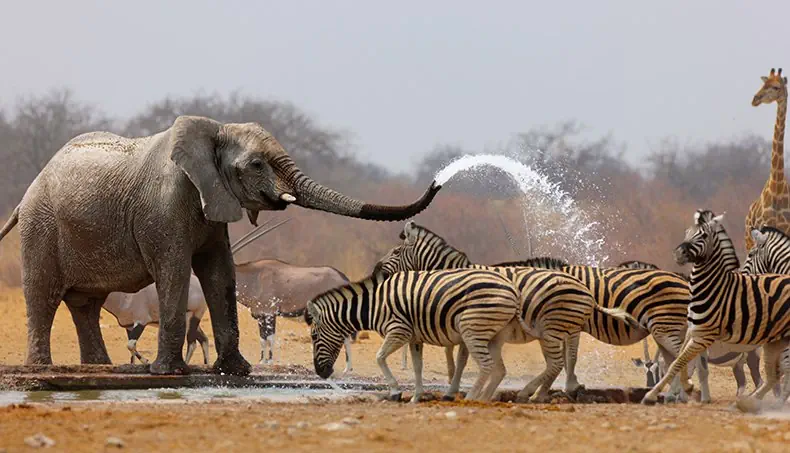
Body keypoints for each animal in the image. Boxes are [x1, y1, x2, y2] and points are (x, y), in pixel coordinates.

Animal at [0, 115, 442, 375]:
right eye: (258, 164)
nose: (438, 181)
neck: (212, 130)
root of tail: (28, 192)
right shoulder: (163, 208)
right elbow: (175, 272)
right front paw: (168, 373)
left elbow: (219, 273)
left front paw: (236, 371)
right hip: (41, 227)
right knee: (44, 295)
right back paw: (41, 372)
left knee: (86, 305)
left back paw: (99, 368)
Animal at [305, 268, 523, 402]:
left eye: (314, 337)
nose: (320, 373)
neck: (374, 305)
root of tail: (512, 288)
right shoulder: (414, 337)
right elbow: (417, 367)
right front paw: (416, 397)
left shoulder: (398, 330)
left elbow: (379, 357)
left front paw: (395, 392)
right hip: (493, 334)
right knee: (498, 369)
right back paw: (482, 398)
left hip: (472, 328)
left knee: (486, 365)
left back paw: (470, 399)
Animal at [375, 221, 704, 402]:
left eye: (396, 251)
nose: (376, 271)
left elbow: (462, 357)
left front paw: (452, 390)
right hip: (662, 328)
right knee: (674, 357)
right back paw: (672, 393)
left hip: (662, 326)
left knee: (678, 356)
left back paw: (674, 392)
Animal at [640, 209, 790, 406]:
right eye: (686, 232)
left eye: (703, 235)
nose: (678, 254)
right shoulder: (693, 333)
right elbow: (680, 362)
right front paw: (683, 391)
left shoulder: (702, 336)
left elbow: (683, 364)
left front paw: (680, 394)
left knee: (771, 374)